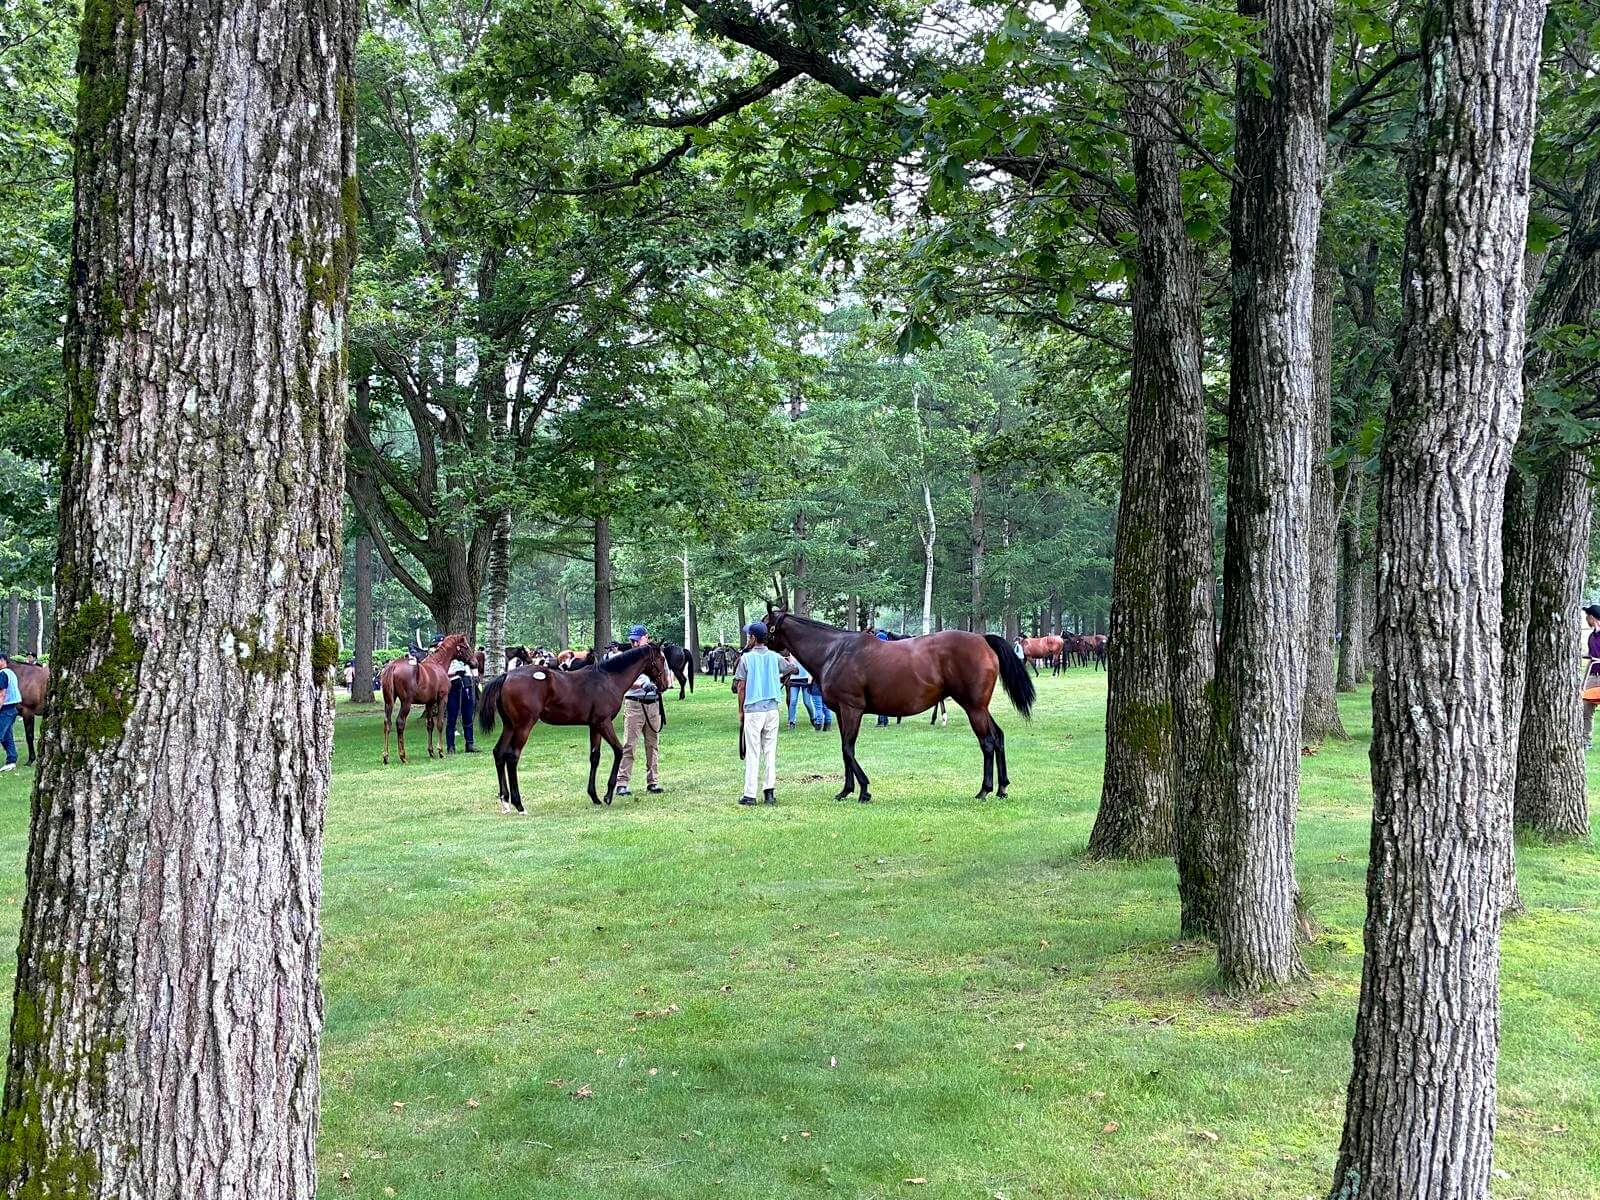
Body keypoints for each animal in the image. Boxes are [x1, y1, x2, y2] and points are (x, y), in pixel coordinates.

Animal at [380, 632, 473, 764]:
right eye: (465, 646)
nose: (474, 662)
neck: (438, 664)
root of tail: (393, 666)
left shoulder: (429, 703)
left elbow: (430, 725)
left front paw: (431, 752)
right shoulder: (442, 699)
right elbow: (440, 723)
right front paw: (440, 751)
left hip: (389, 702)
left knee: (387, 723)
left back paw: (386, 756)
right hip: (406, 703)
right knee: (400, 723)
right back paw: (403, 756)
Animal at [478, 644, 670, 811]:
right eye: (661, 659)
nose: (664, 685)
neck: (608, 679)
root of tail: (506, 676)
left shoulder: (594, 726)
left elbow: (595, 757)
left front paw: (595, 797)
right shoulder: (604, 723)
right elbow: (619, 751)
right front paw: (608, 796)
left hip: (509, 726)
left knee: (499, 753)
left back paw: (505, 802)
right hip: (523, 726)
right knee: (512, 757)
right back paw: (519, 804)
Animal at [764, 608, 1035, 803]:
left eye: (764, 624)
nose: (749, 646)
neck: (835, 651)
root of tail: (982, 640)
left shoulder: (852, 709)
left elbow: (848, 749)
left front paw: (864, 791)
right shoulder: (841, 712)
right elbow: (844, 750)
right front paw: (846, 790)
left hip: (974, 708)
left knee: (987, 743)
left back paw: (984, 790)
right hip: (980, 708)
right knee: (998, 738)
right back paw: (1002, 788)